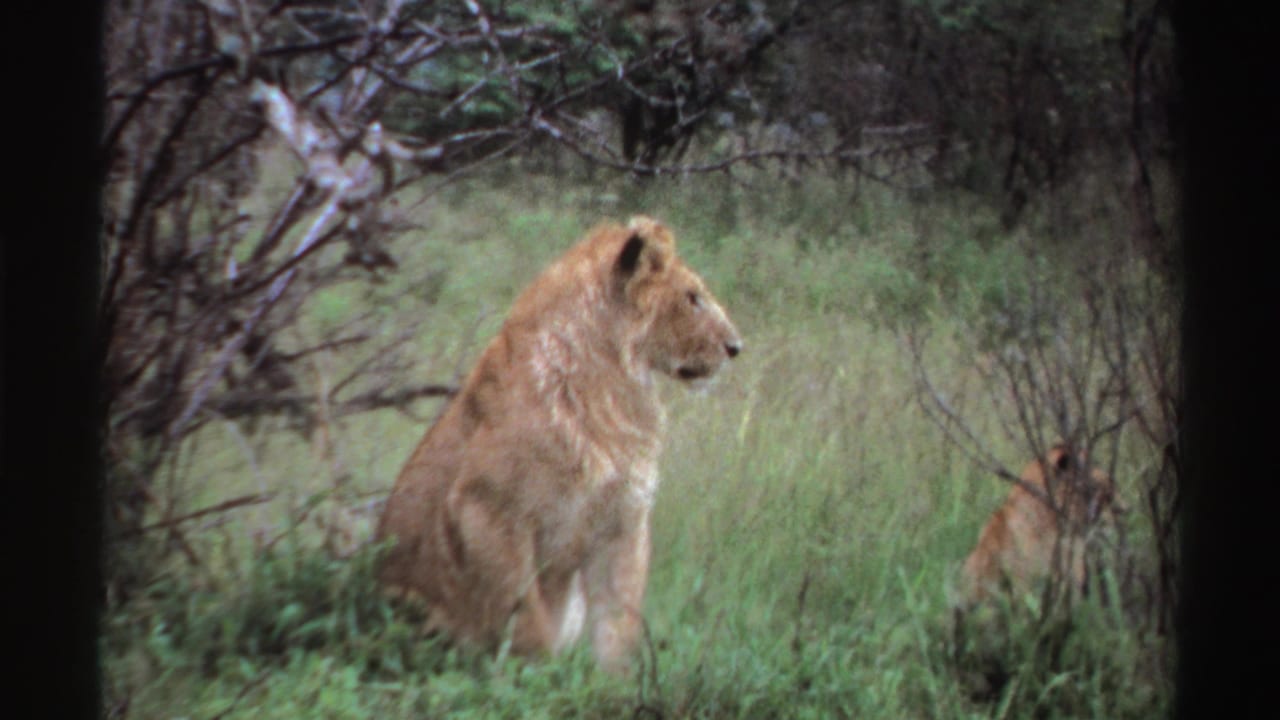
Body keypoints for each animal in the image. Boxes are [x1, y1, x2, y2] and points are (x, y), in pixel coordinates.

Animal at [374, 215, 742, 672]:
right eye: (693, 298)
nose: (736, 347)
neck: (611, 388)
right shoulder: (486, 511)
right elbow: (527, 620)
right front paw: (538, 678)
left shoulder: (624, 522)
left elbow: (619, 623)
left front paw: (612, 685)